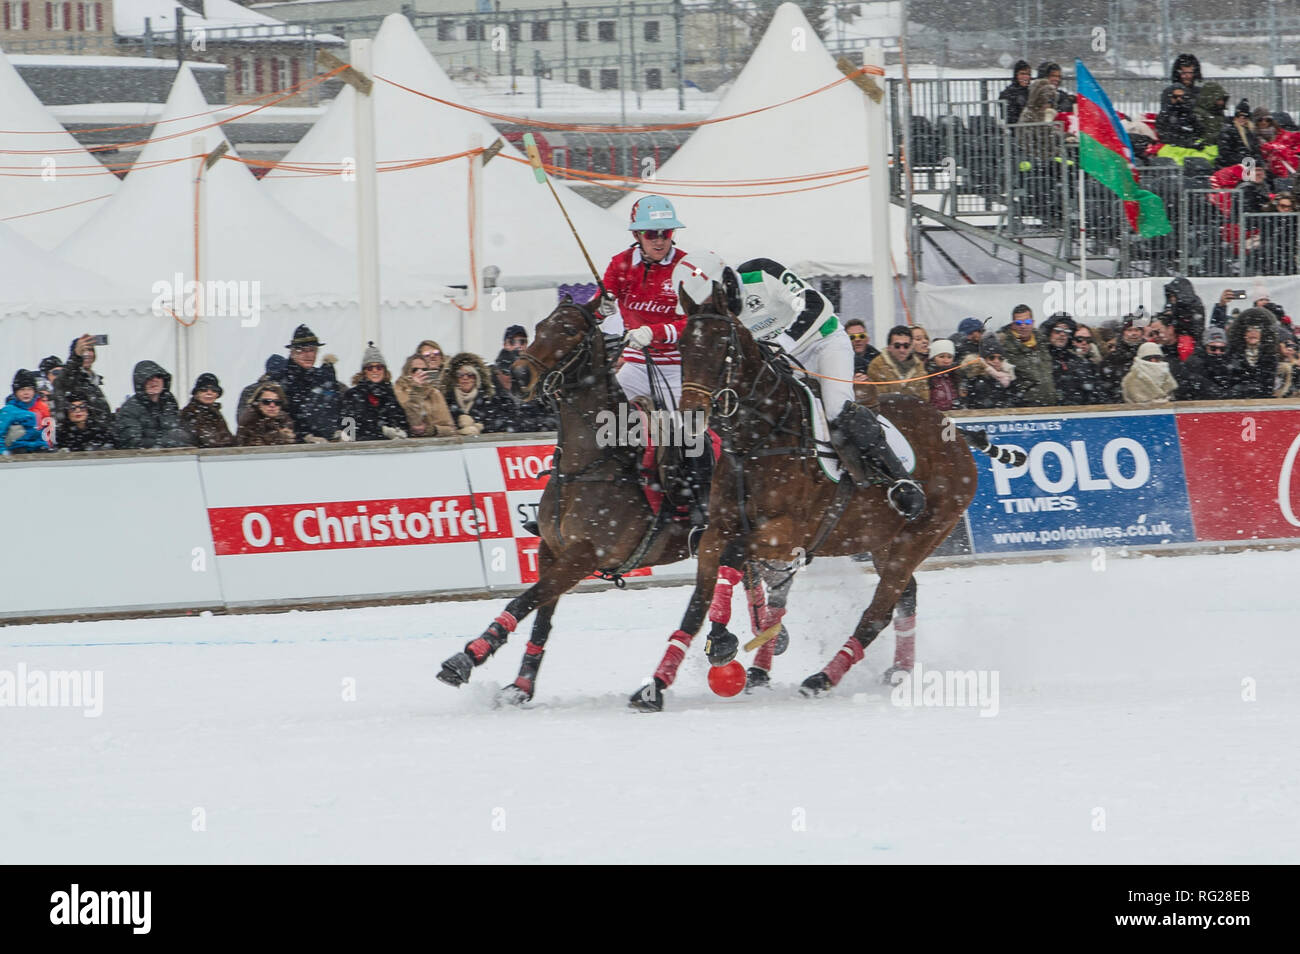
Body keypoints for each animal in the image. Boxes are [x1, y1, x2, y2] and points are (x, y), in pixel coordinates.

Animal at [436, 302, 790, 707]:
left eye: (570, 330)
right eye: (540, 327)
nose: (520, 375)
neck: (591, 460)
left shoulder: (584, 554)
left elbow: (524, 601)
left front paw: (467, 657)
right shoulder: (550, 549)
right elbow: (542, 615)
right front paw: (520, 685)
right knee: (750, 583)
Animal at [629, 289, 1024, 712]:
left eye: (723, 348)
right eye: (683, 347)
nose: (690, 417)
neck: (760, 437)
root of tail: (956, 431)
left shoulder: (784, 535)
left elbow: (733, 559)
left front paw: (722, 642)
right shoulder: (716, 529)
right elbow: (697, 604)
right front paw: (656, 686)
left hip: (922, 534)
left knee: (878, 612)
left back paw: (822, 678)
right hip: (883, 540)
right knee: (906, 596)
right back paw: (897, 671)